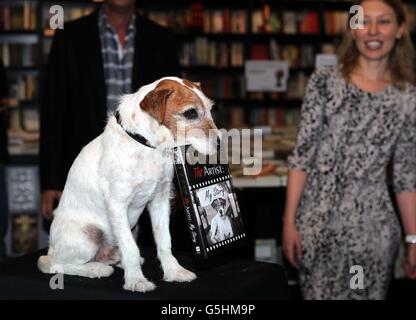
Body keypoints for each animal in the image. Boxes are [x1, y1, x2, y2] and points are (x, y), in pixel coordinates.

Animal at [38, 77, 219, 292]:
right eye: (191, 112)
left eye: (210, 108)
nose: (221, 143)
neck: (148, 146)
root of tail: (51, 249)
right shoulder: (117, 205)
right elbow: (130, 248)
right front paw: (136, 280)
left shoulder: (160, 201)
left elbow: (164, 241)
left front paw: (173, 272)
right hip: (88, 235)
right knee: (56, 265)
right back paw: (96, 269)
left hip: (133, 228)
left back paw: (114, 260)